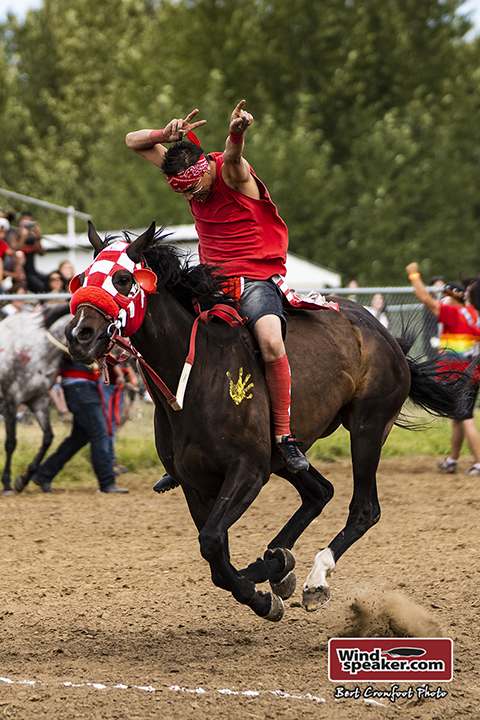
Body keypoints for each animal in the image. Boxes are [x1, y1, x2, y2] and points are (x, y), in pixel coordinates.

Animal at [64, 224, 464, 620]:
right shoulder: (194, 483)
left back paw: (314, 578)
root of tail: (381, 332)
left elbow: (212, 543)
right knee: (319, 492)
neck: (196, 376)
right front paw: (269, 577)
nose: (79, 334)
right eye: (81, 278)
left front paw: (263, 593)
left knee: (364, 510)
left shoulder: (248, 471)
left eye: (123, 279)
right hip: (285, 456)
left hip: (367, 428)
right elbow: (216, 556)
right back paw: (279, 564)